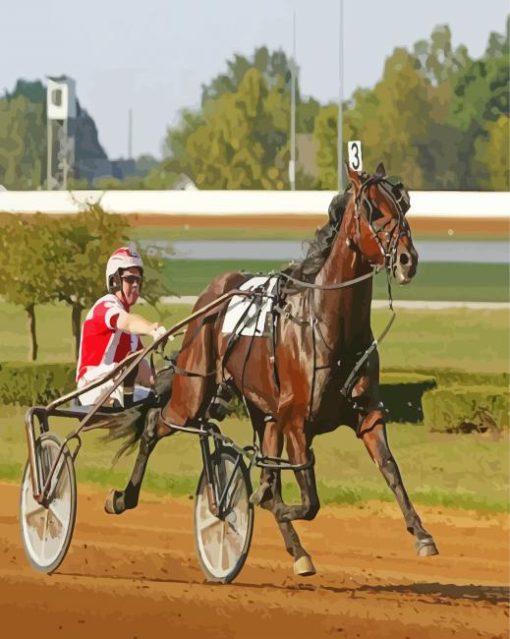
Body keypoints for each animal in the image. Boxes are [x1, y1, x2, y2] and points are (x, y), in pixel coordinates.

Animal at [104, 164, 438, 576]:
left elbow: (390, 470)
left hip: (265, 414)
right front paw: (259, 501)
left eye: (403, 204)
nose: (408, 259)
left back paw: (298, 551)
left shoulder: (366, 414)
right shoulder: (296, 420)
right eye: (372, 209)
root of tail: (213, 293)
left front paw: (422, 534)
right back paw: (124, 497)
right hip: (194, 392)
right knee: (155, 424)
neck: (326, 323)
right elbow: (304, 499)